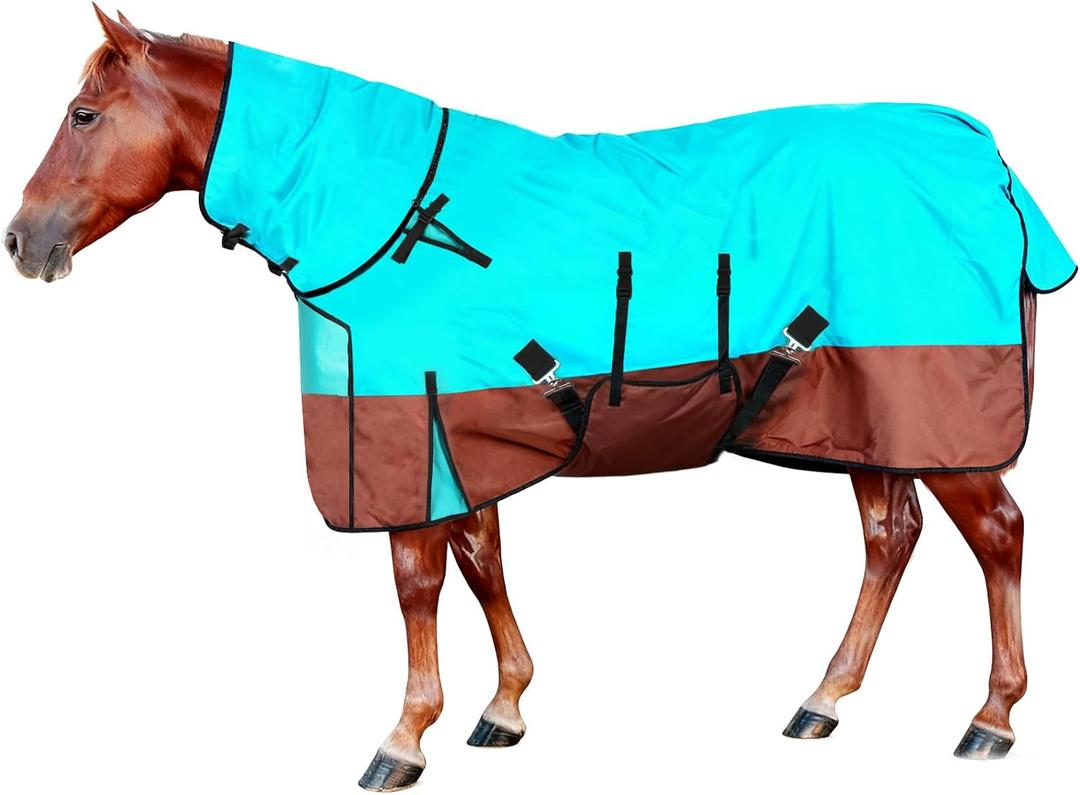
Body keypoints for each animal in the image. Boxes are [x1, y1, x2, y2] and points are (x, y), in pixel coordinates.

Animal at [5, 7, 1072, 791]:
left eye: (83, 115)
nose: (23, 240)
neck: (397, 219)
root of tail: (987, 157)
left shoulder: (409, 424)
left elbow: (419, 579)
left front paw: (403, 737)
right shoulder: (460, 425)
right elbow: (481, 558)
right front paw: (504, 707)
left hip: (937, 410)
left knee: (998, 532)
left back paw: (991, 717)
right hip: (864, 413)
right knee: (891, 536)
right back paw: (823, 699)